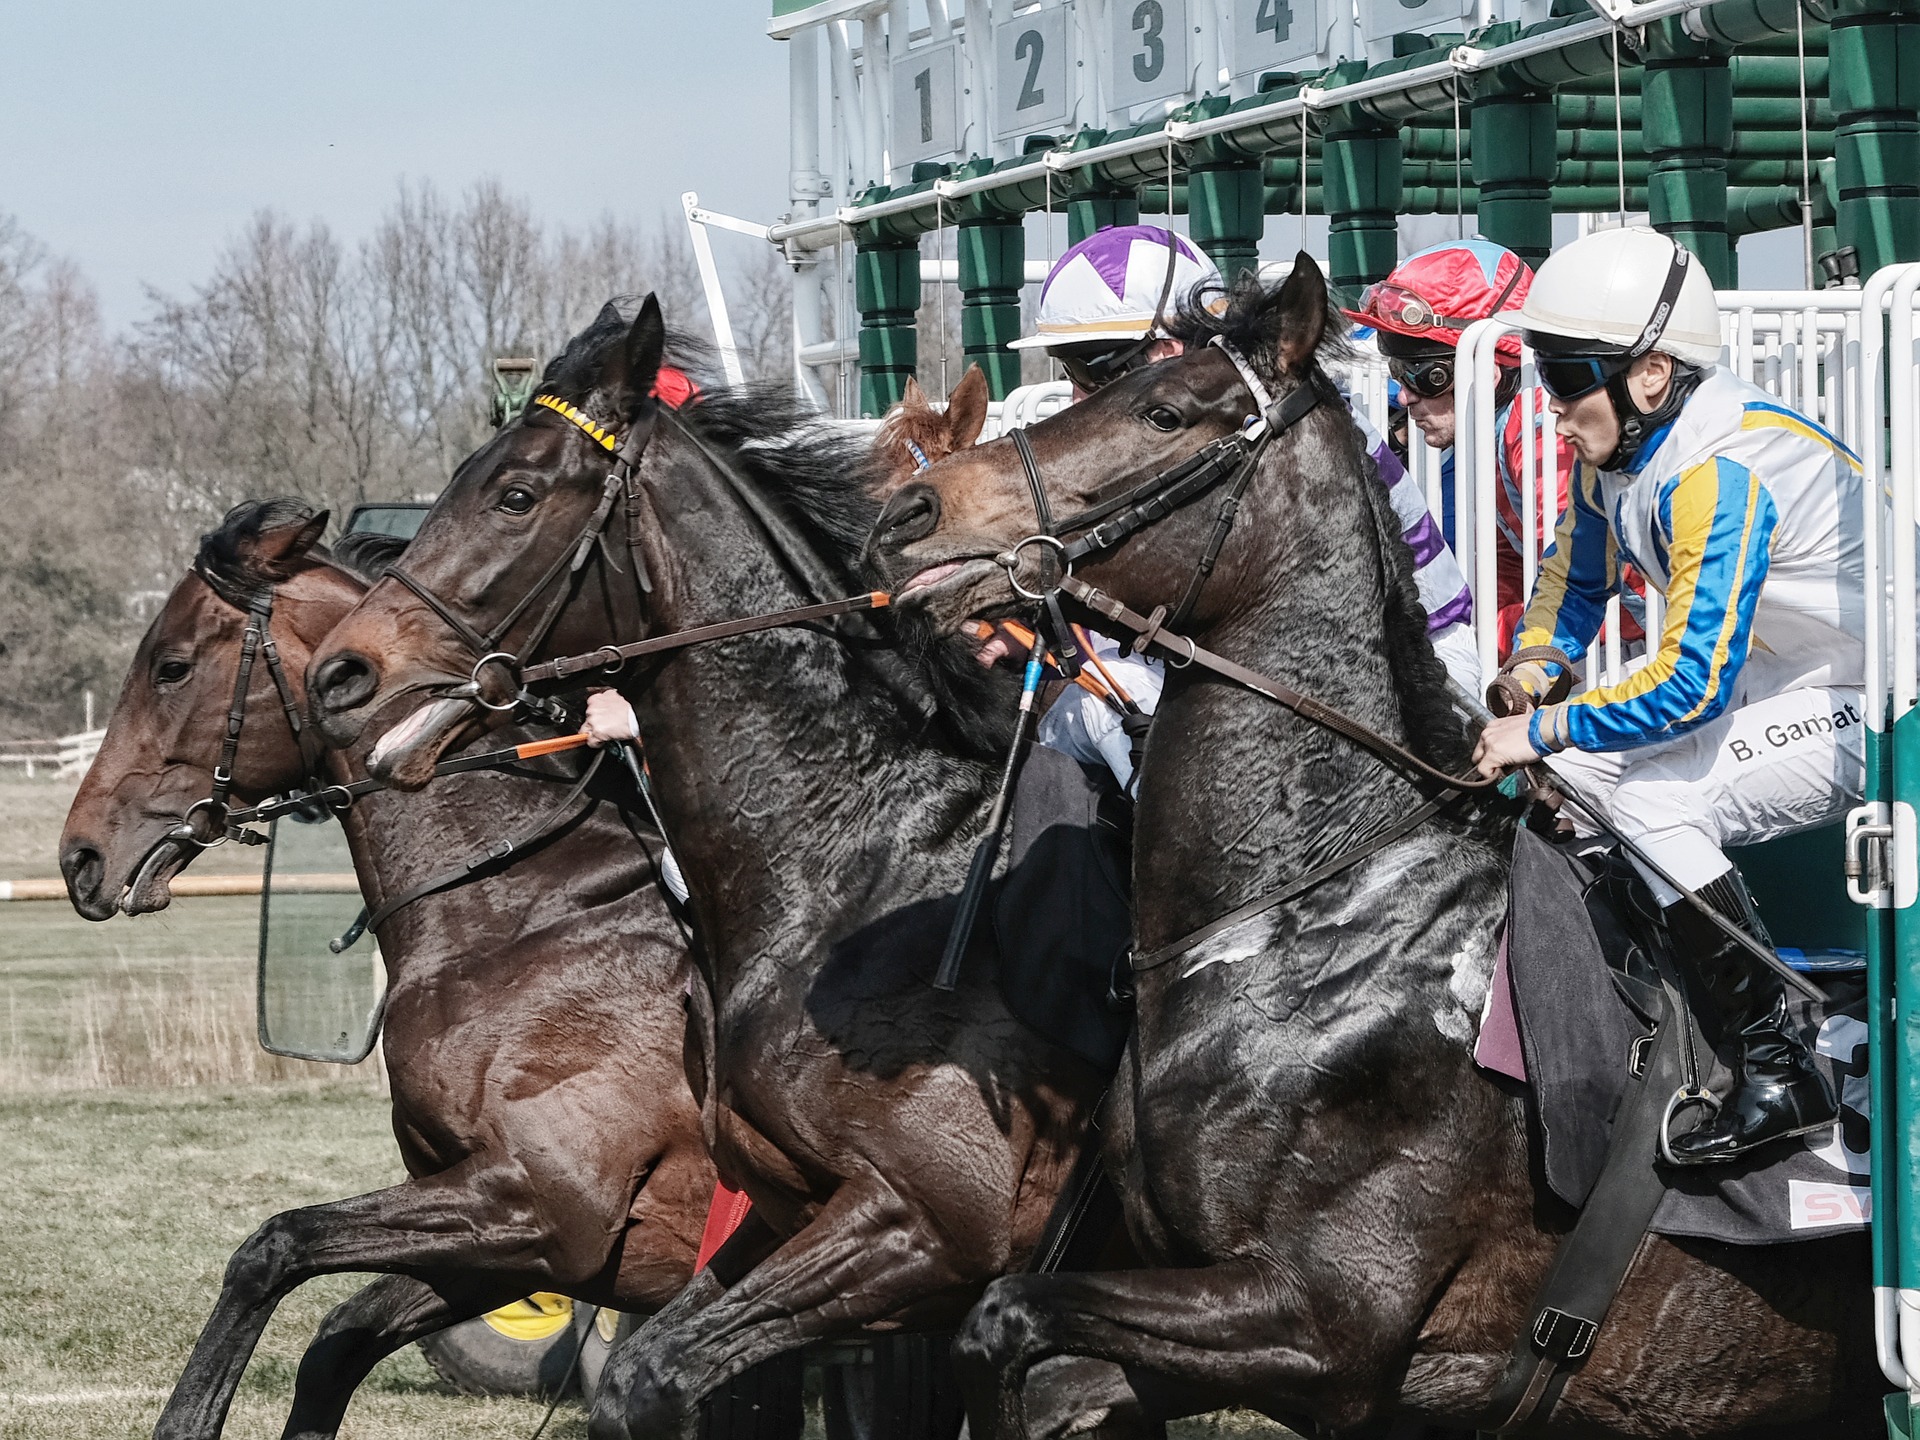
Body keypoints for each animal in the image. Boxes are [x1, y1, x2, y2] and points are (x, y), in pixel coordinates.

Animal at [65, 503, 721, 1440]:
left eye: (171, 666)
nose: (80, 857)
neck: (526, 912)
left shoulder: (543, 1208)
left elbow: (272, 1248)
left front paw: (186, 1420)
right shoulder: (508, 1242)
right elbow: (334, 1340)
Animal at [864, 263, 1881, 1440]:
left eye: (1163, 412)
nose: (908, 514)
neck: (1308, 915)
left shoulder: (1323, 1324)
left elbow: (1004, 1316)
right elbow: (1028, 1357)